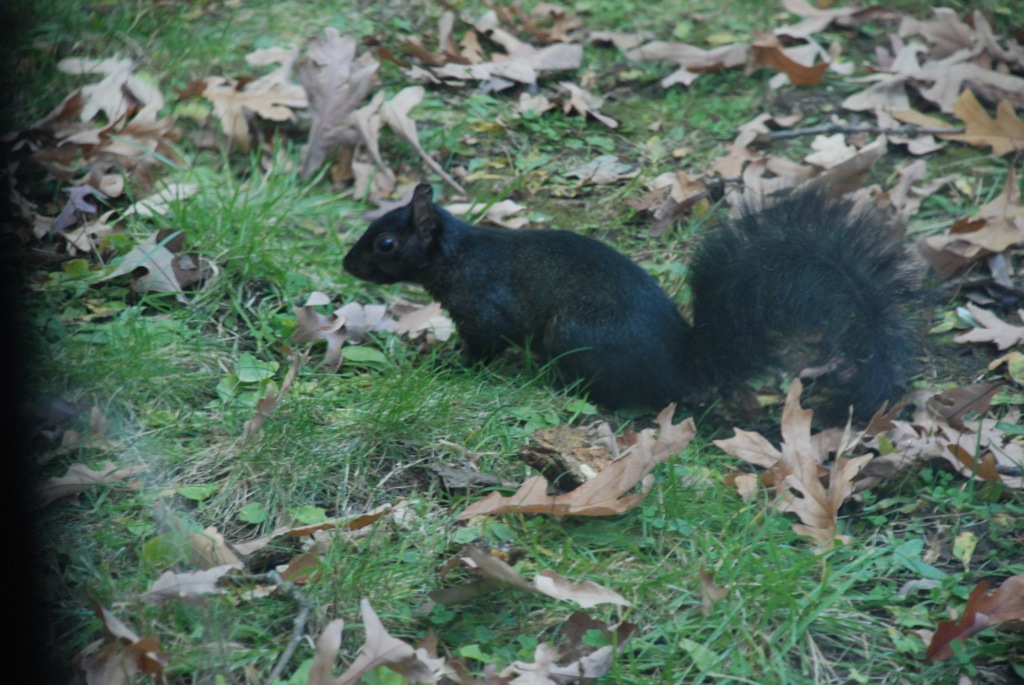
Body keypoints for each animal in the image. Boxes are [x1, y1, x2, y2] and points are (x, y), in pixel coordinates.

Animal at [342, 182, 920, 423]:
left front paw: (448, 367)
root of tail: (683, 366)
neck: (459, 255)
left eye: (385, 243)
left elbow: (484, 346)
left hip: (574, 337)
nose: (347, 264)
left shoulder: (486, 307)